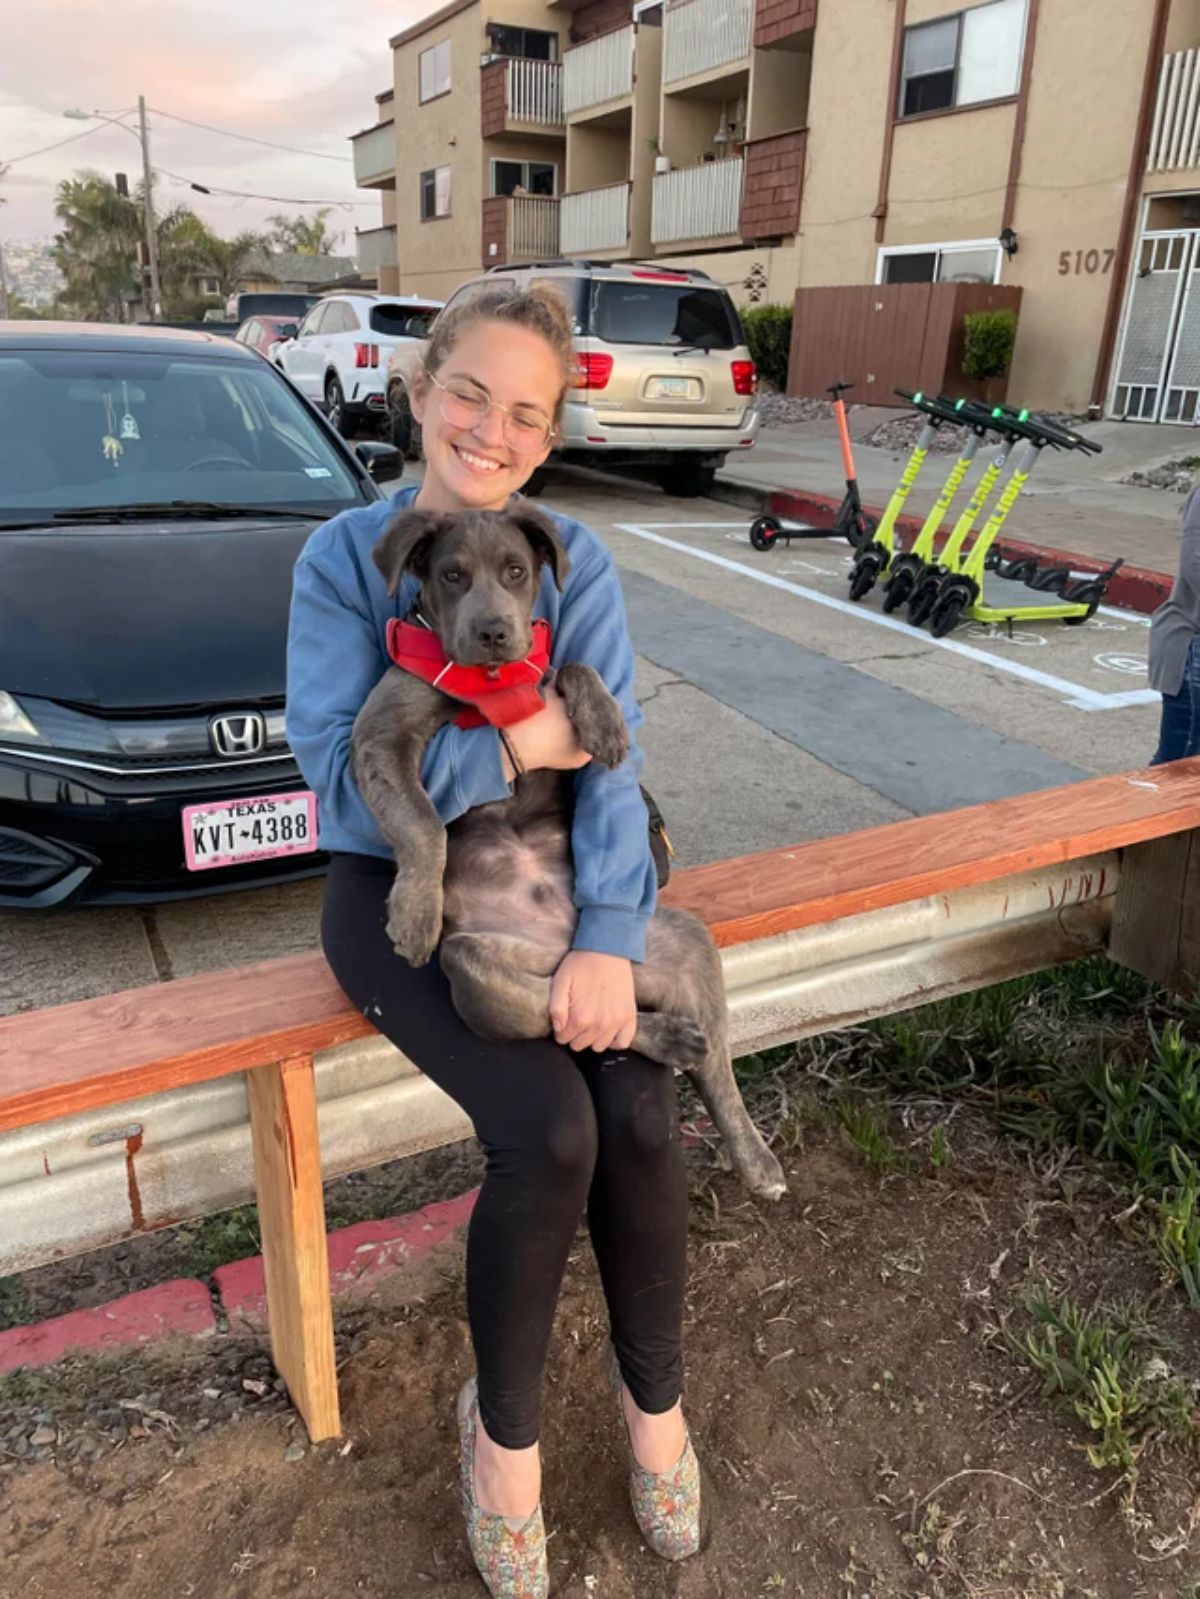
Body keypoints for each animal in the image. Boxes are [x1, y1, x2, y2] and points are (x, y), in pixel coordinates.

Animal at [350, 502, 790, 1202]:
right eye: (451, 574)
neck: (489, 683)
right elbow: (423, 822)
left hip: (683, 945)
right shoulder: (378, 737)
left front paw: (605, 721)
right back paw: (669, 1038)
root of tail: (559, 944)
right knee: (568, 1021)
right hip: (476, 974)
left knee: (715, 1072)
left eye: (516, 571)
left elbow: (578, 666)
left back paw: (755, 1159)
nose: (495, 632)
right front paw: (414, 911)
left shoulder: (547, 681)